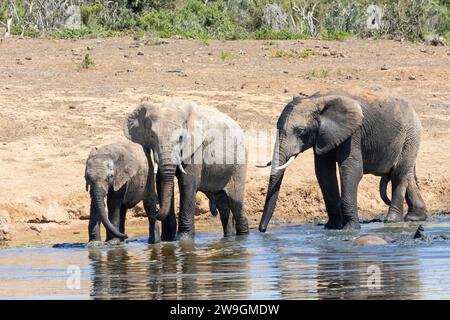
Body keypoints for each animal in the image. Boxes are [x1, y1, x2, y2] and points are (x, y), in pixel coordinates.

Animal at [123, 99, 250, 239]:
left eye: (180, 138)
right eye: (152, 136)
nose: (155, 210)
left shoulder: (196, 147)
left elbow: (187, 183)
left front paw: (184, 238)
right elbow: (161, 181)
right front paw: (167, 238)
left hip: (240, 162)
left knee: (236, 202)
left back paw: (243, 237)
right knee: (223, 204)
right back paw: (229, 237)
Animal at [258, 89, 428, 231]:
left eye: (301, 131)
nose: (262, 230)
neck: (316, 99)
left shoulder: (354, 133)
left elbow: (351, 170)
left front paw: (350, 229)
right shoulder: (323, 135)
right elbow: (324, 173)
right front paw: (332, 227)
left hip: (410, 135)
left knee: (399, 175)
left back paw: (392, 221)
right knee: (405, 176)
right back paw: (415, 218)